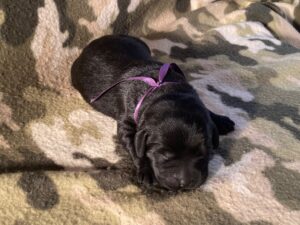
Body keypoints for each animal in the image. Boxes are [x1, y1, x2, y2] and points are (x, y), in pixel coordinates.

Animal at [71, 34, 236, 191]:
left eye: (203, 151)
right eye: (164, 154)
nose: (184, 183)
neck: (163, 89)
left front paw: (221, 120)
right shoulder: (127, 121)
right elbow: (135, 147)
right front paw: (147, 170)